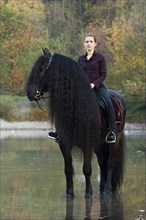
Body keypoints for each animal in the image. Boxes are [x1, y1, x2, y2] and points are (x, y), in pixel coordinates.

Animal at [25, 48, 126, 199]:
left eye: (42, 68)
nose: (29, 93)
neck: (76, 104)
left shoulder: (87, 143)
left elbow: (87, 169)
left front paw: (88, 194)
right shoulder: (64, 143)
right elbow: (68, 169)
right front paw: (69, 193)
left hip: (114, 140)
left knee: (110, 162)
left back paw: (107, 190)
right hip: (99, 143)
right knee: (102, 162)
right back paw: (101, 188)